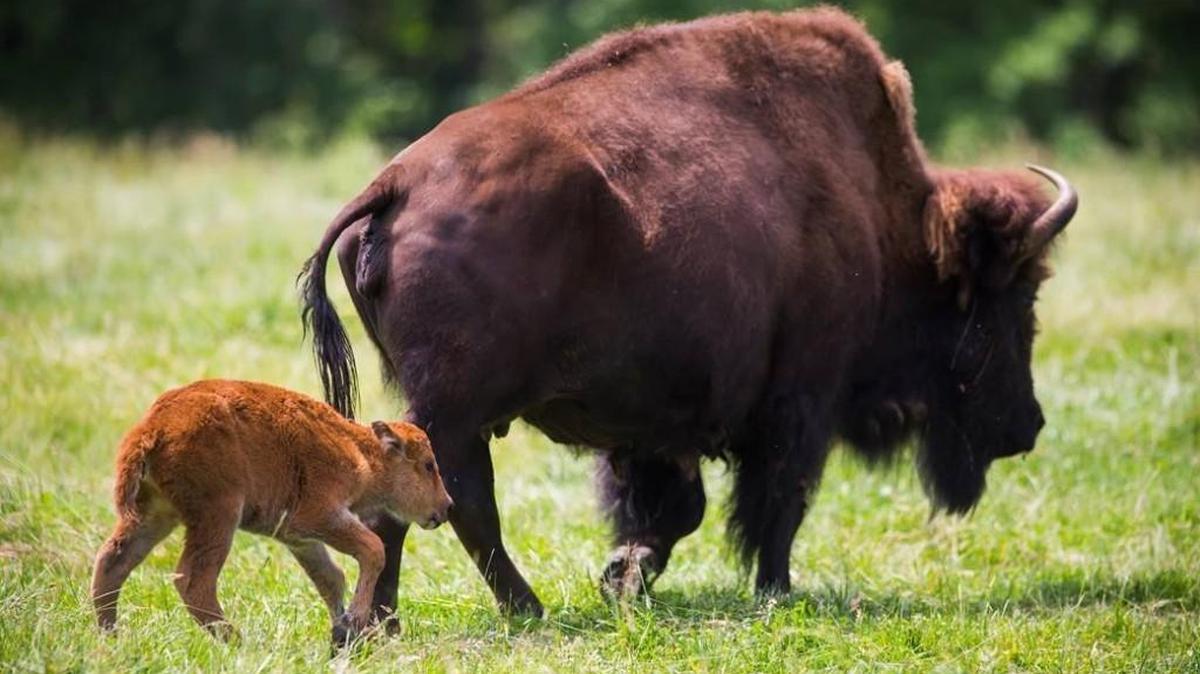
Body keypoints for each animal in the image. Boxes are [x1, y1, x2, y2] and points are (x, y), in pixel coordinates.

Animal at [298, 7, 1076, 620]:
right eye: (1016, 299)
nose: (1029, 425)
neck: (884, 220)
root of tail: (394, 183)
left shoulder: (655, 425)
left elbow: (676, 508)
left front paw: (625, 576)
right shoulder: (800, 401)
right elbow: (776, 501)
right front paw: (774, 590)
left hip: (445, 405)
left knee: (435, 500)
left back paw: (398, 620)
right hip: (457, 408)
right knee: (453, 501)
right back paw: (500, 611)